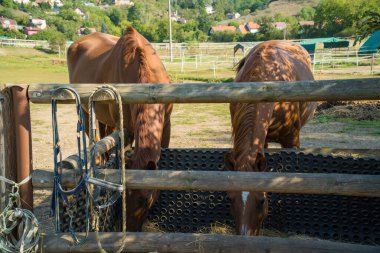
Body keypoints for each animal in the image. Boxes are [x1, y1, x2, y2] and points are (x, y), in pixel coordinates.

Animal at [67, 26, 173, 231]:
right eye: (123, 198)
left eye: (146, 201)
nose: (131, 230)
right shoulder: (124, 128)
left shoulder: (167, 124)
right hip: (86, 111)